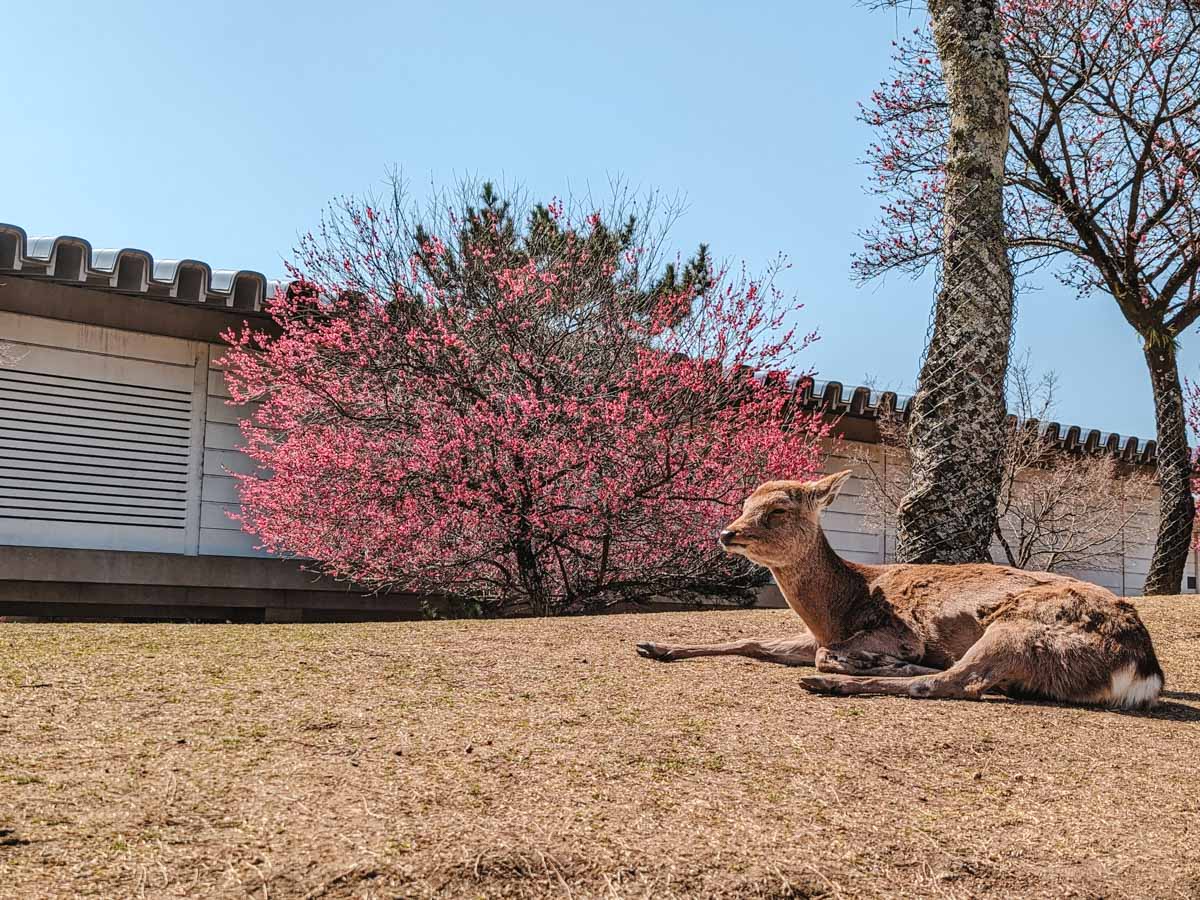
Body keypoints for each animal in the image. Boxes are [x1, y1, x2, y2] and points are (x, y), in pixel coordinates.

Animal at [638, 472, 1161, 710]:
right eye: (746, 501)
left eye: (779, 510)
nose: (727, 533)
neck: (839, 607)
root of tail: (1143, 670)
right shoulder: (815, 633)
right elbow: (753, 641)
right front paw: (654, 645)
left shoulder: (896, 631)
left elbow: (824, 653)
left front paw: (860, 663)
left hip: (1018, 630)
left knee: (950, 682)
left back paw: (836, 681)